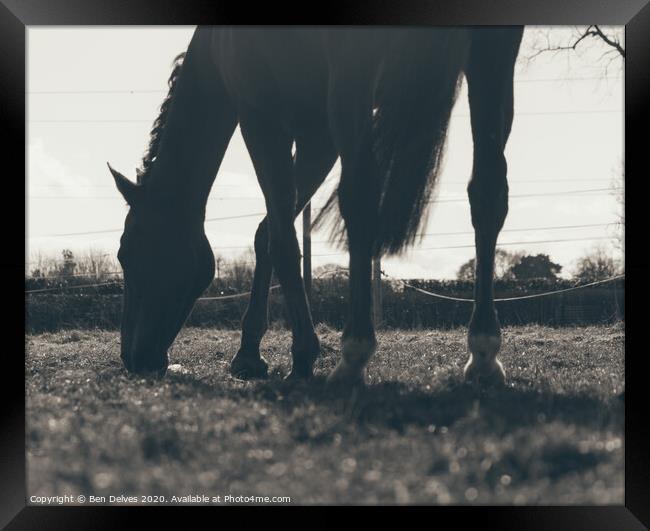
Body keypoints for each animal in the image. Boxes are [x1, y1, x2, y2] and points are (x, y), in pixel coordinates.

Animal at [106, 26, 520, 390]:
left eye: (127, 254)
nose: (132, 359)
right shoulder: (317, 136)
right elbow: (267, 233)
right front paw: (249, 353)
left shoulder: (261, 118)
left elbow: (283, 240)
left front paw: (302, 355)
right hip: (492, 61)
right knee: (488, 193)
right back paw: (483, 354)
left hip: (354, 73)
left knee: (361, 200)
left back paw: (354, 355)